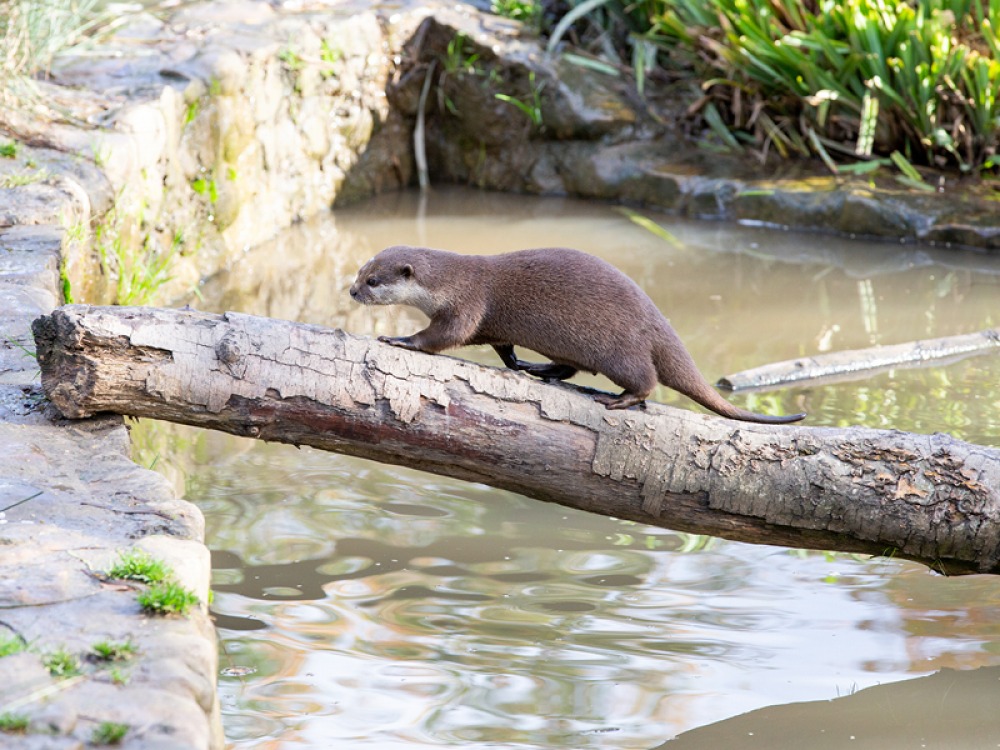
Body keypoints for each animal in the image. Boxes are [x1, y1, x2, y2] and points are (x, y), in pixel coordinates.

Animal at [350, 245, 805, 424]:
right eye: (359, 271)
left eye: (373, 280)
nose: (352, 291)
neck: (452, 281)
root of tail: (659, 323)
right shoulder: (491, 324)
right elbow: (498, 345)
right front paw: (515, 362)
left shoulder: (468, 303)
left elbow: (446, 335)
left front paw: (401, 340)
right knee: (569, 369)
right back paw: (540, 370)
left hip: (621, 350)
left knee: (646, 381)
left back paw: (618, 400)